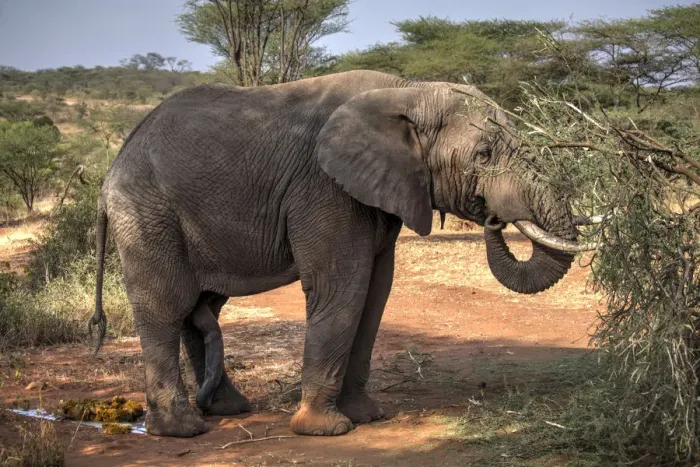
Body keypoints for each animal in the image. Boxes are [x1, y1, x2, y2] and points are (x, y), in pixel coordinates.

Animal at [88, 70, 591, 438]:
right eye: (483, 155)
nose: (493, 218)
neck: (407, 91)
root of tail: (110, 172)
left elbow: (375, 293)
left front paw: (367, 416)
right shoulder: (324, 188)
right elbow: (342, 288)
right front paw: (326, 429)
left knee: (201, 310)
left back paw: (227, 408)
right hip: (146, 212)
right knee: (167, 307)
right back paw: (182, 430)